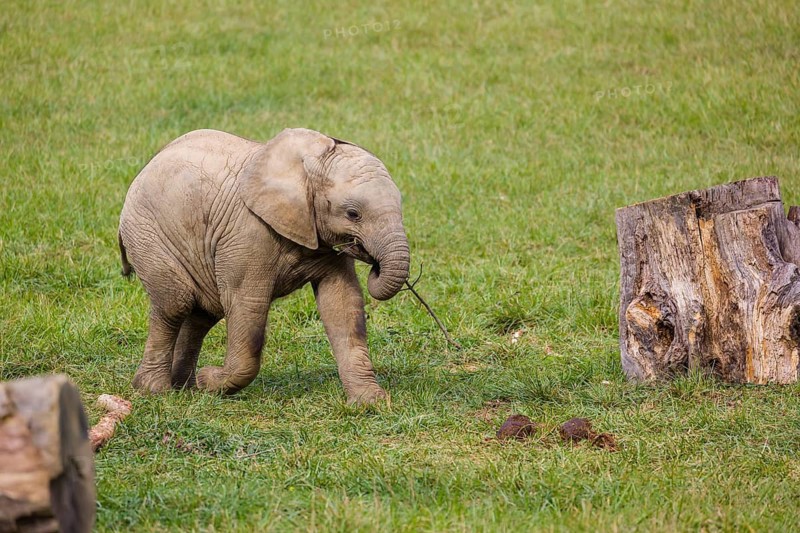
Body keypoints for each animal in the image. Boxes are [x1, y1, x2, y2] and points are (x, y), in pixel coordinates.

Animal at [118, 128, 410, 404]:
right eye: (353, 214)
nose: (374, 264)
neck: (309, 166)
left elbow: (342, 304)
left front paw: (370, 402)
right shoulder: (248, 233)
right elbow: (248, 304)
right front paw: (209, 380)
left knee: (202, 313)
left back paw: (185, 388)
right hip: (147, 235)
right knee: (175, 304)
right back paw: (156, 390)